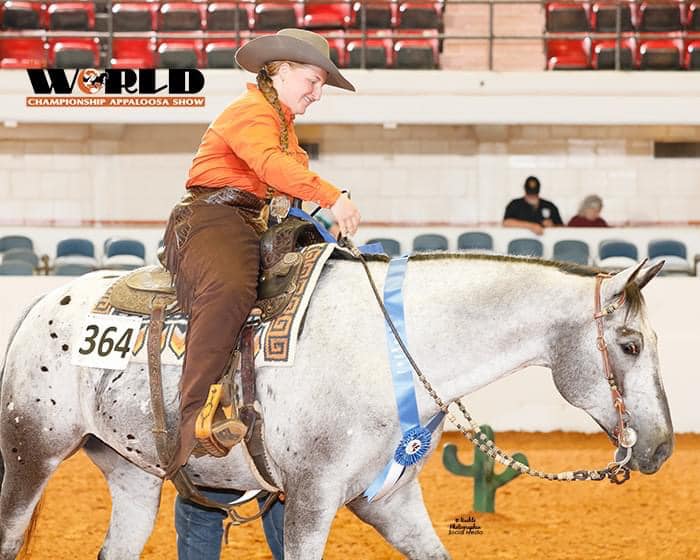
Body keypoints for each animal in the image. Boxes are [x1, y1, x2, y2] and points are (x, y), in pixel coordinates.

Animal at [2, 254, 676, 560]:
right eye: (631, 344)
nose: (663, 446)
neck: (388, 348)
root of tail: (44, 302)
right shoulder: (311, 501)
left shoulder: (390, 502)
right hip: (30, 453)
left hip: (132, 473)